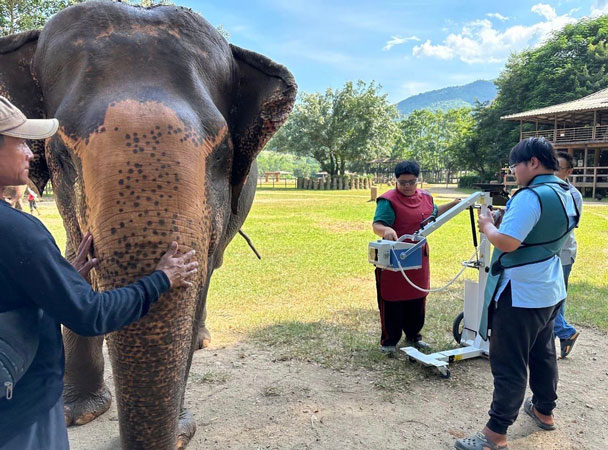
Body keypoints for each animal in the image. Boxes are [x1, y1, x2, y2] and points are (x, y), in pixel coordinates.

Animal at [0, 1, 296, 448]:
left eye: (223, 159)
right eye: (61, 158)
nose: (181, 431)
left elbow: (198, 281)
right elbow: (71, 264)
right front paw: (76, 415)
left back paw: (203, 339)